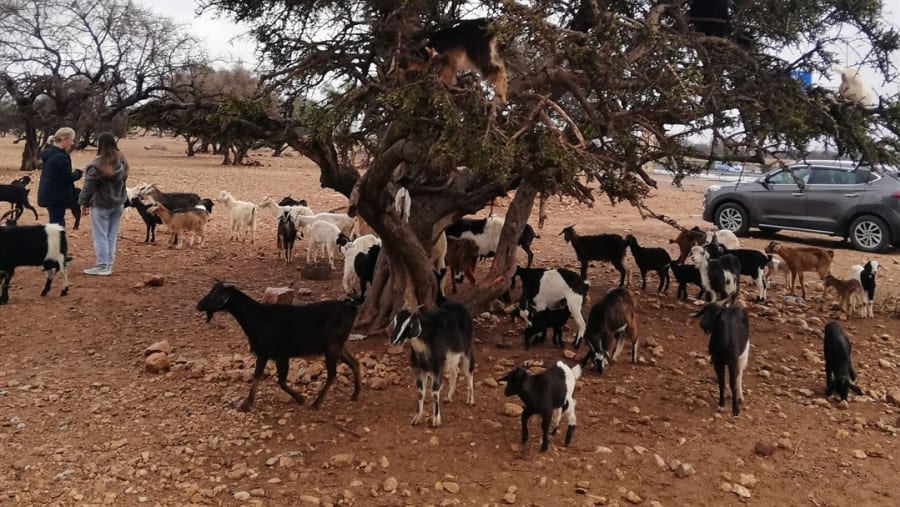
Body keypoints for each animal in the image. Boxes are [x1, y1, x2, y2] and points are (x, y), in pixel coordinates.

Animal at [196, 282, 361, 411]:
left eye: (214, 295)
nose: (198, 305)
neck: (258, 318)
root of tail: (351, 309)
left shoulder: (280, 354)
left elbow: (280, 381)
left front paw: (300, 398)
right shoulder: (264, 353)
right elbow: (258, 375)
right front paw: (246, 403)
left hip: (332, 346)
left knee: (333, 374)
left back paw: (316, 403)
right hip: (339, 345)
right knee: (354, 363)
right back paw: (355, 394)